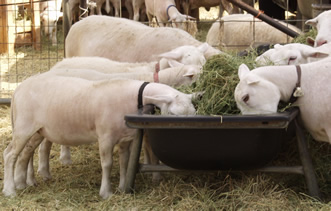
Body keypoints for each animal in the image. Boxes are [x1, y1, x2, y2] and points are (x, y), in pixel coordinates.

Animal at [3, 72, 197, 198]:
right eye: (173, 114)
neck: (134, 98)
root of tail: (18, 89)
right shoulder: (105, 136)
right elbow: (108, 164)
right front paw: (106, 192)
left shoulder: (126, 139)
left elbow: (124, 163)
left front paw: (122, 187)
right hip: (24, 127)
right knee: (10, 154)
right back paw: (10, 190)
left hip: (37, 130)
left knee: (25, 154)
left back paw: (23, 183)